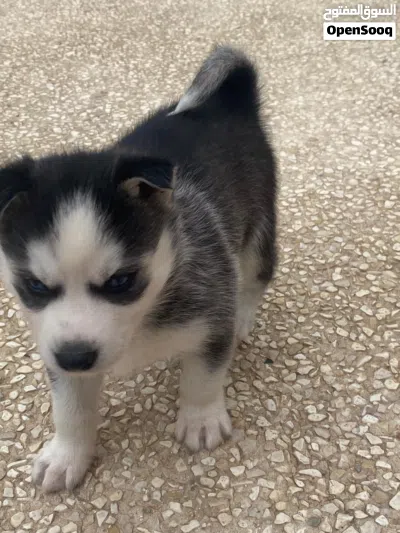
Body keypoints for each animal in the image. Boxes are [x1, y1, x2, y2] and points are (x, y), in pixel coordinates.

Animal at [0, 46, 276, 492]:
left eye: (121, 281)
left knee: (256, 275)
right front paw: (67, 455)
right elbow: (69, 407)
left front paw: (200, 418)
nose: (77, 357)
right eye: (35, 286)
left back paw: (245, 312)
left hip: (259, 228)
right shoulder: (56, 347)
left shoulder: (212, 313)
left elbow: (203, 376)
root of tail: (227, 103)